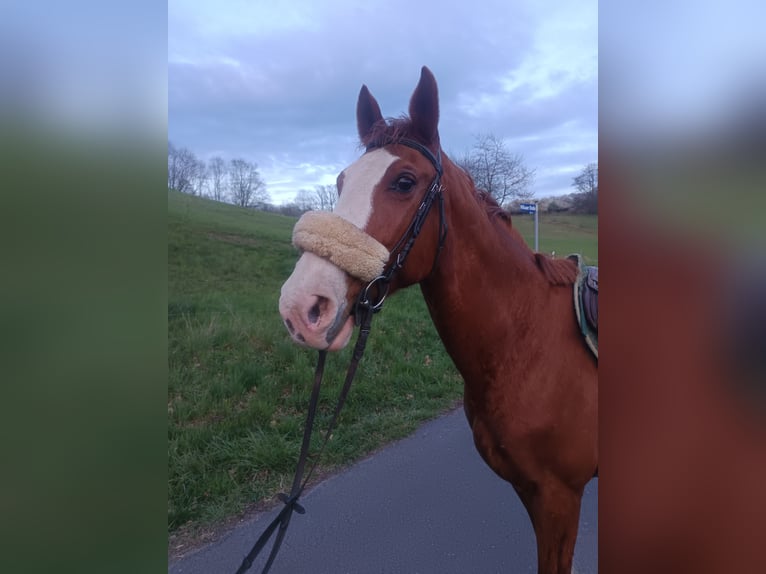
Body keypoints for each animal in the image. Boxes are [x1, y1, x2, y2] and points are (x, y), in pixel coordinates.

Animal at [279, 66, 597, 574]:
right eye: (342, 181)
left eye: (405, 181)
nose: (301, 305)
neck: (528, 343)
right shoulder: (531, 493)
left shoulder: (560, 498)